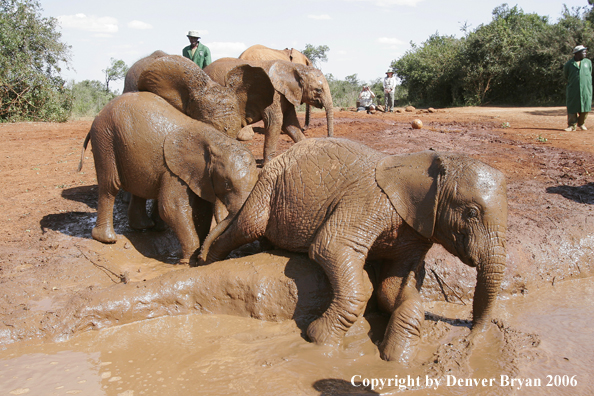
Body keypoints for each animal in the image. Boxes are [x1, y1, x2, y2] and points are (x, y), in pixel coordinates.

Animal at [82, 91, 258, 264]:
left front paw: (196, 256)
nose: (204, 258)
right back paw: (107, 239)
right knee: (110, 186)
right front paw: (188, 261)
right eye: (227, 184)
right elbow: (172, 208)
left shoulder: (199, 175)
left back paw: (143, 226)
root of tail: (99, 114)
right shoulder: (173, 170)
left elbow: (202, 210)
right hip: (105, 138)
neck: (216, 140)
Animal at [201, 138, 506, 364]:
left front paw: (396, 358)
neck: (424, 164)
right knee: (247, 226)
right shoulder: (370, 201)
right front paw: (319, 339)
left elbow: (393, 289)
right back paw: (205, 263)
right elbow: (330, 246)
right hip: (269, 186)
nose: (471, 338)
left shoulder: (415, 231)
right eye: (471, 213)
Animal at [204, 57, 332, 164]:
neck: (292, 67)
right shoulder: (274, 94)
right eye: (318, 90)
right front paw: (266, 164)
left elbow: (290, 124)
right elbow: (275, 122)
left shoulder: (285, 95)